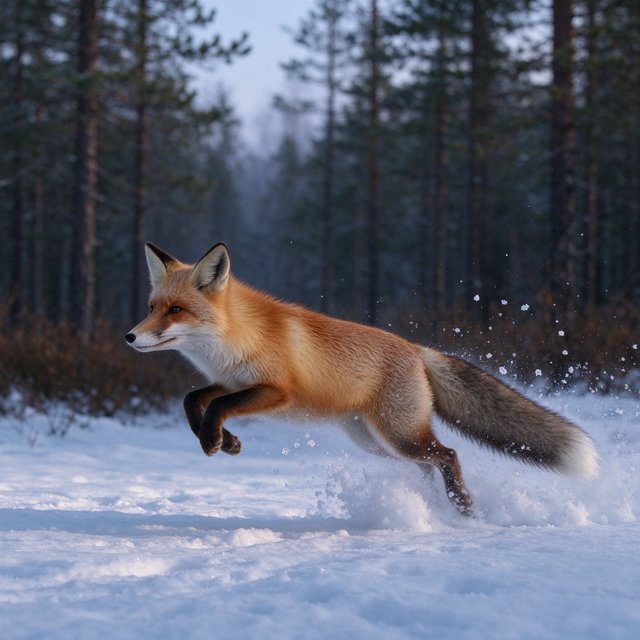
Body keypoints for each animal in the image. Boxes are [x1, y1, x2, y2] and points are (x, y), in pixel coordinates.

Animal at [125, 242, 599, 515]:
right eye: (151, 307)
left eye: (175, 310)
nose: (130, 337)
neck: (236, 337)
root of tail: (417, 350)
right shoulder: (232, 381)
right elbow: (193, 399)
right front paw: (226, 442)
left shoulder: (276, 391)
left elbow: (218, 406)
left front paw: (214, 441)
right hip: (377, 443)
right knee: (429, 464)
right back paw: (431, 507)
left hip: (398, 435)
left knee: (448, 455)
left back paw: (462, 506)